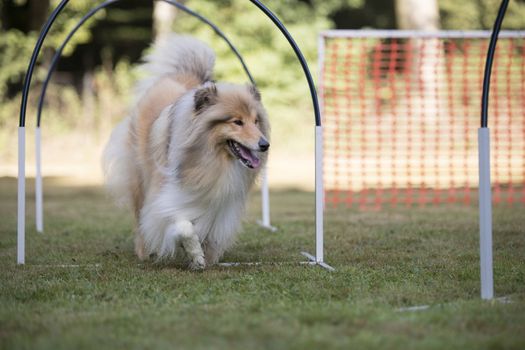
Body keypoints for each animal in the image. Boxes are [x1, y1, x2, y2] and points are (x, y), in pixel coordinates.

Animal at [101, 35, 270, 270]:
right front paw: (196, 256)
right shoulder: (164, 197)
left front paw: (207, 255)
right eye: (237, 122)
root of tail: (180, 74)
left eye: (256, 121)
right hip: (139, 181)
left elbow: (208, 228)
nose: (265, 145)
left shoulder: (217, 200)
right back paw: (144, 252)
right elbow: (184, 227)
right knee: (139, 218)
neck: (213, 160)